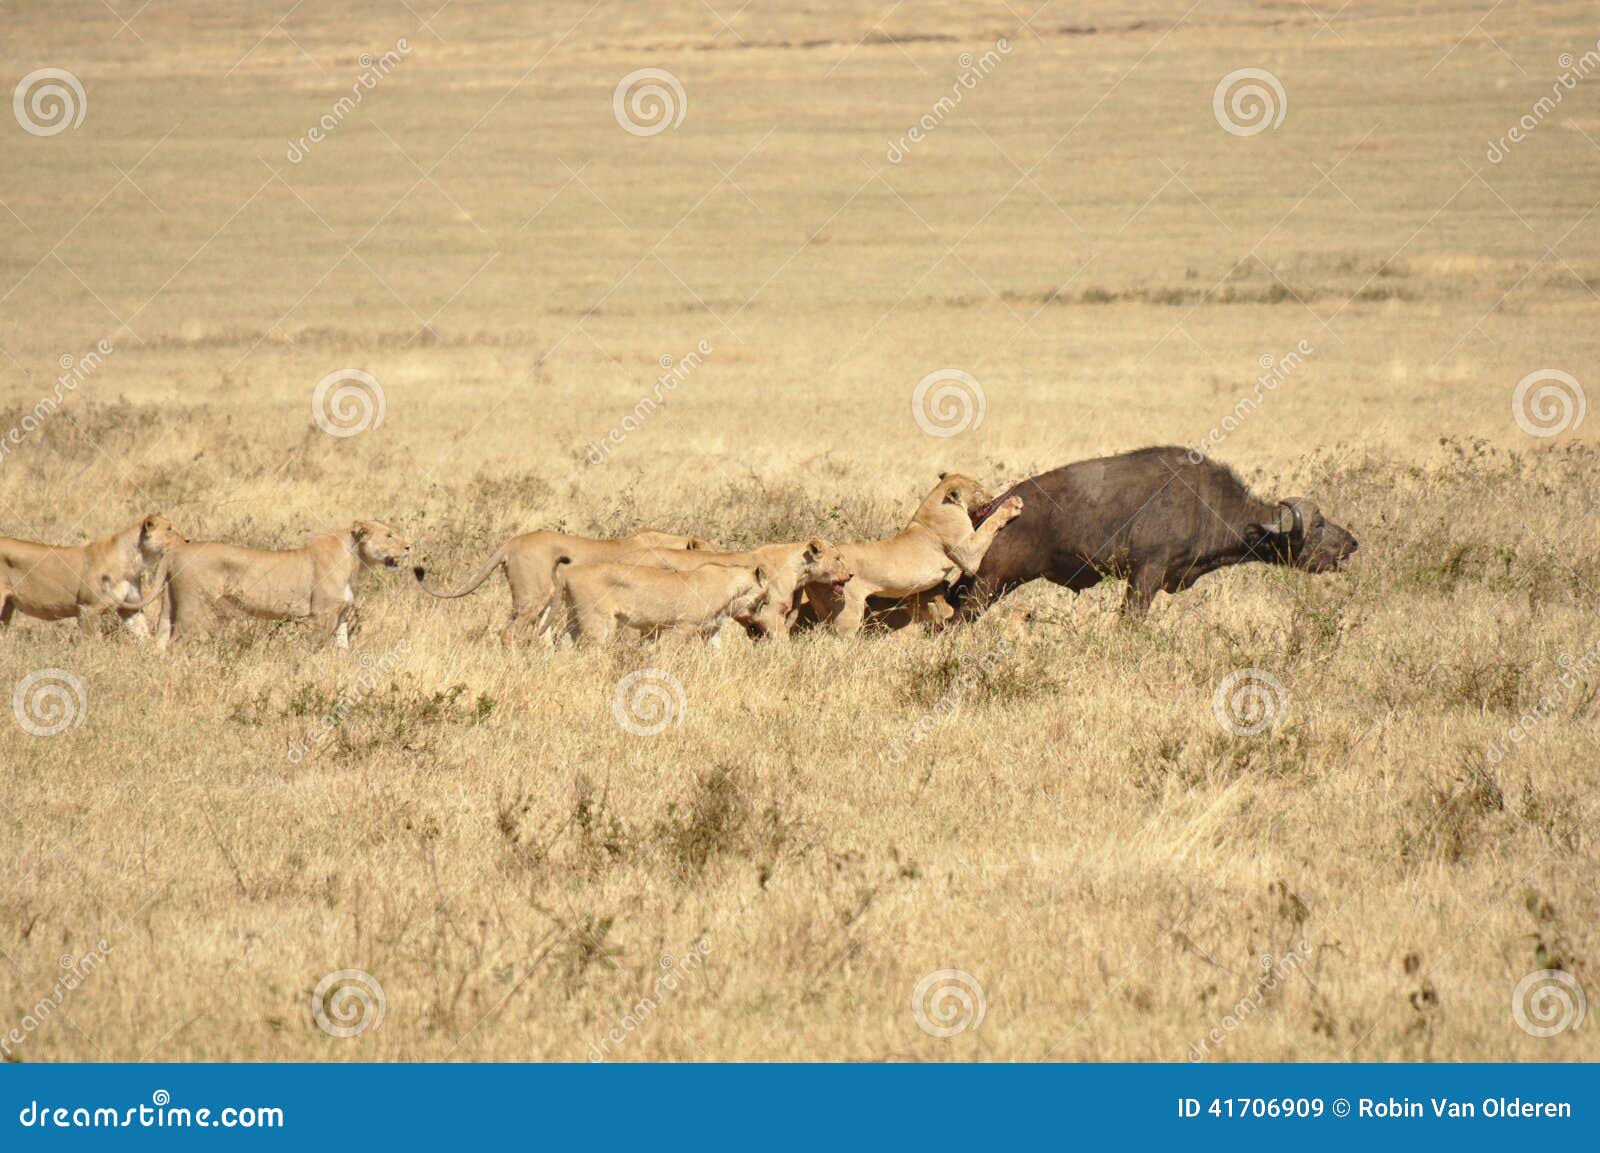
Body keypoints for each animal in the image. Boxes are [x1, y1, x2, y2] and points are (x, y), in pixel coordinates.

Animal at [953, 446, 1357, 619]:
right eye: (1318, 524)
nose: (1352, 543)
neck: (1207, 504)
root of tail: (987, 509)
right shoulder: (1145, 575)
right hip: (990, 584)